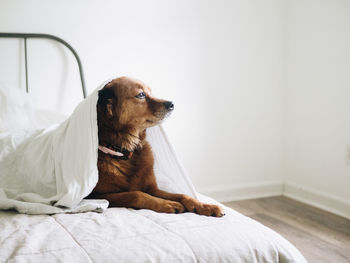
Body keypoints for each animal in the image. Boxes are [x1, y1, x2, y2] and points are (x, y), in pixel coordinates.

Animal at [88, 77, 224, 218]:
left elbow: (182, 195)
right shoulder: (96, 195)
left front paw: (205, 206)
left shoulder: (152, 188)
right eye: (141, 94)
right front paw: (168, 204)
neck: (126, 153)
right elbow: (136, 194)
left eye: (151, 92)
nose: (172, 104)